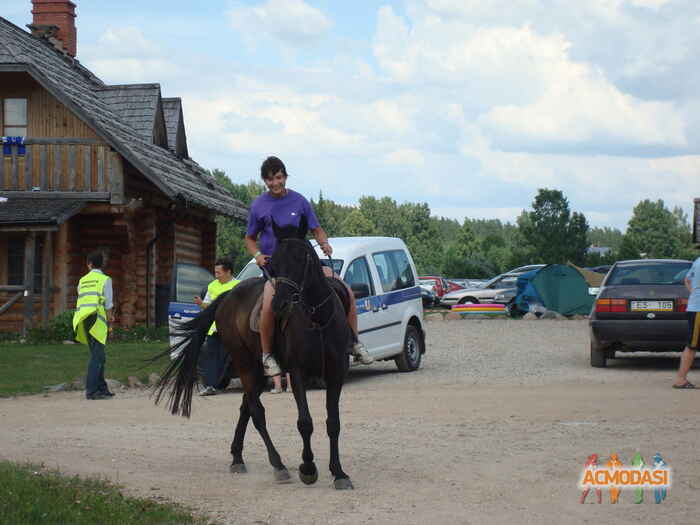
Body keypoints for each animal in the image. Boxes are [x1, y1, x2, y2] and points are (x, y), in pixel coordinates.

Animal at [152, 217, 356, 488]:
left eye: (302, 259)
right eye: (274, 263)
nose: (280, 303)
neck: (316, 318)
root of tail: (228, 296)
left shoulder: (336, 372)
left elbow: (333, 423)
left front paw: (339, 473)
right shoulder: (298, 373)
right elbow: (305, 422)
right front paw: (308, 468)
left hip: (258, 373)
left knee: (246, 406)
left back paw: (237, 457)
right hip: (245, 363)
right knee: (257, 412)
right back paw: (278, 465)